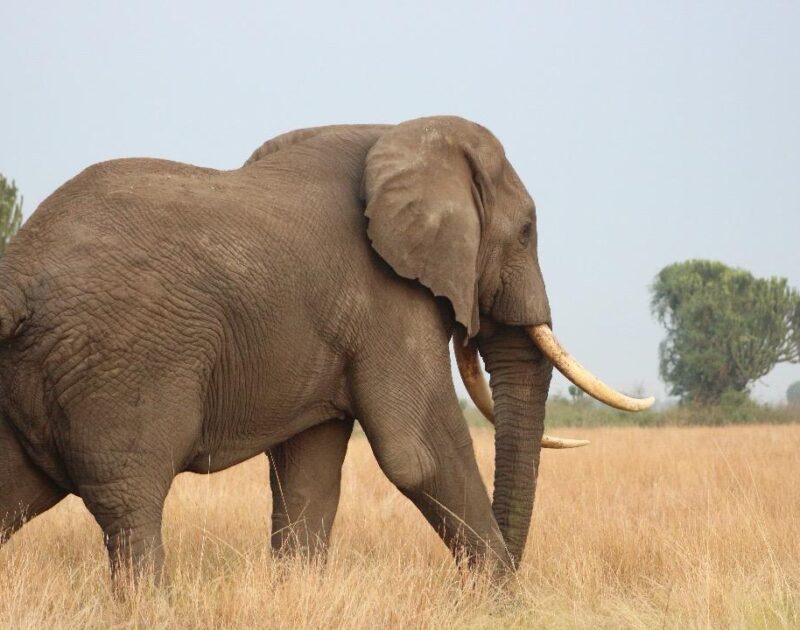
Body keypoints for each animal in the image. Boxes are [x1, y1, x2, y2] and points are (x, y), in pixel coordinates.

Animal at [0, 117, 648, 584]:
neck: (403, 132)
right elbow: (418, 454)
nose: (510, 574)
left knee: (18, 493)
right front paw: (503, 600)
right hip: (119, 366)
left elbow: (308, 472)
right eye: (527, 233)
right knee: (131, 509)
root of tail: (20, 268)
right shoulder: (385, 297)